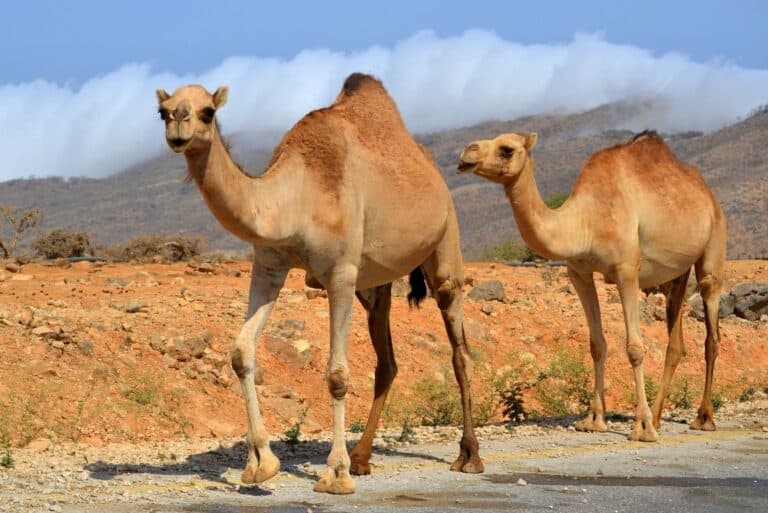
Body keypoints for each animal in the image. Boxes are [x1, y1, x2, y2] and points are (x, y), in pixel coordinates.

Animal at [155, 73, 483, 494]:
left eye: (208, 111)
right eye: (162, 110)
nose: (178, 127)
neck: (297, 197)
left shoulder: (340, 273)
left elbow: (337, 375)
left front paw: (335, 475)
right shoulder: (269, 265)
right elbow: (241, 352)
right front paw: (260, 464)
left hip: (445, 241)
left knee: (458, 347)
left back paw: (468, 456)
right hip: (374, 285)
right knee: (387, 362)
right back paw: (362, 458)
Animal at [457, 131, 726, 441]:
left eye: (507, 149)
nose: (466, 153)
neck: (585, 221)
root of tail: (708, 195)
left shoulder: (626, 270)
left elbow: (634, 348)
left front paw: (642, 427)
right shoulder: (579, 272)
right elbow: (597, 344)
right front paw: (594, 419)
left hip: (713, 249)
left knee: (711, 333)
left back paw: (702, 418)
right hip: (676, 274)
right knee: (676, 342)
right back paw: (659, 417)